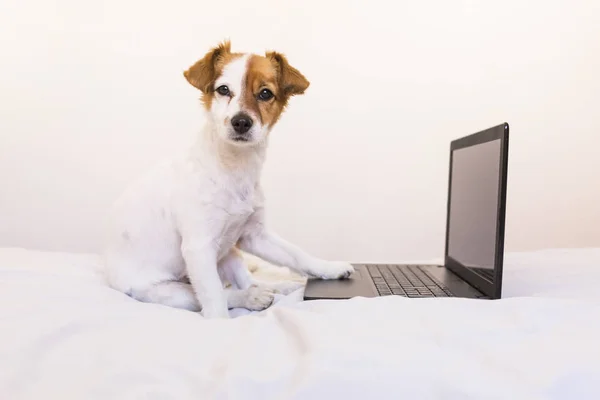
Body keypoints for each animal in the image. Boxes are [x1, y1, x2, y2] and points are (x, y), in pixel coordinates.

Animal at [103, 41, 354, 318]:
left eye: (265, 93)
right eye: (223, 90)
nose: (241, 122)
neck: (234, 167)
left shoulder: (254, 235)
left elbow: (297, 254)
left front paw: (328, 268)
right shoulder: (199, 248)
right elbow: (214, 299)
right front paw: (220, 323)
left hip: (229, 252)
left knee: (248, 280)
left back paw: (276, 287)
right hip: (169, 292)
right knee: (220, 293)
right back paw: (253, 297)